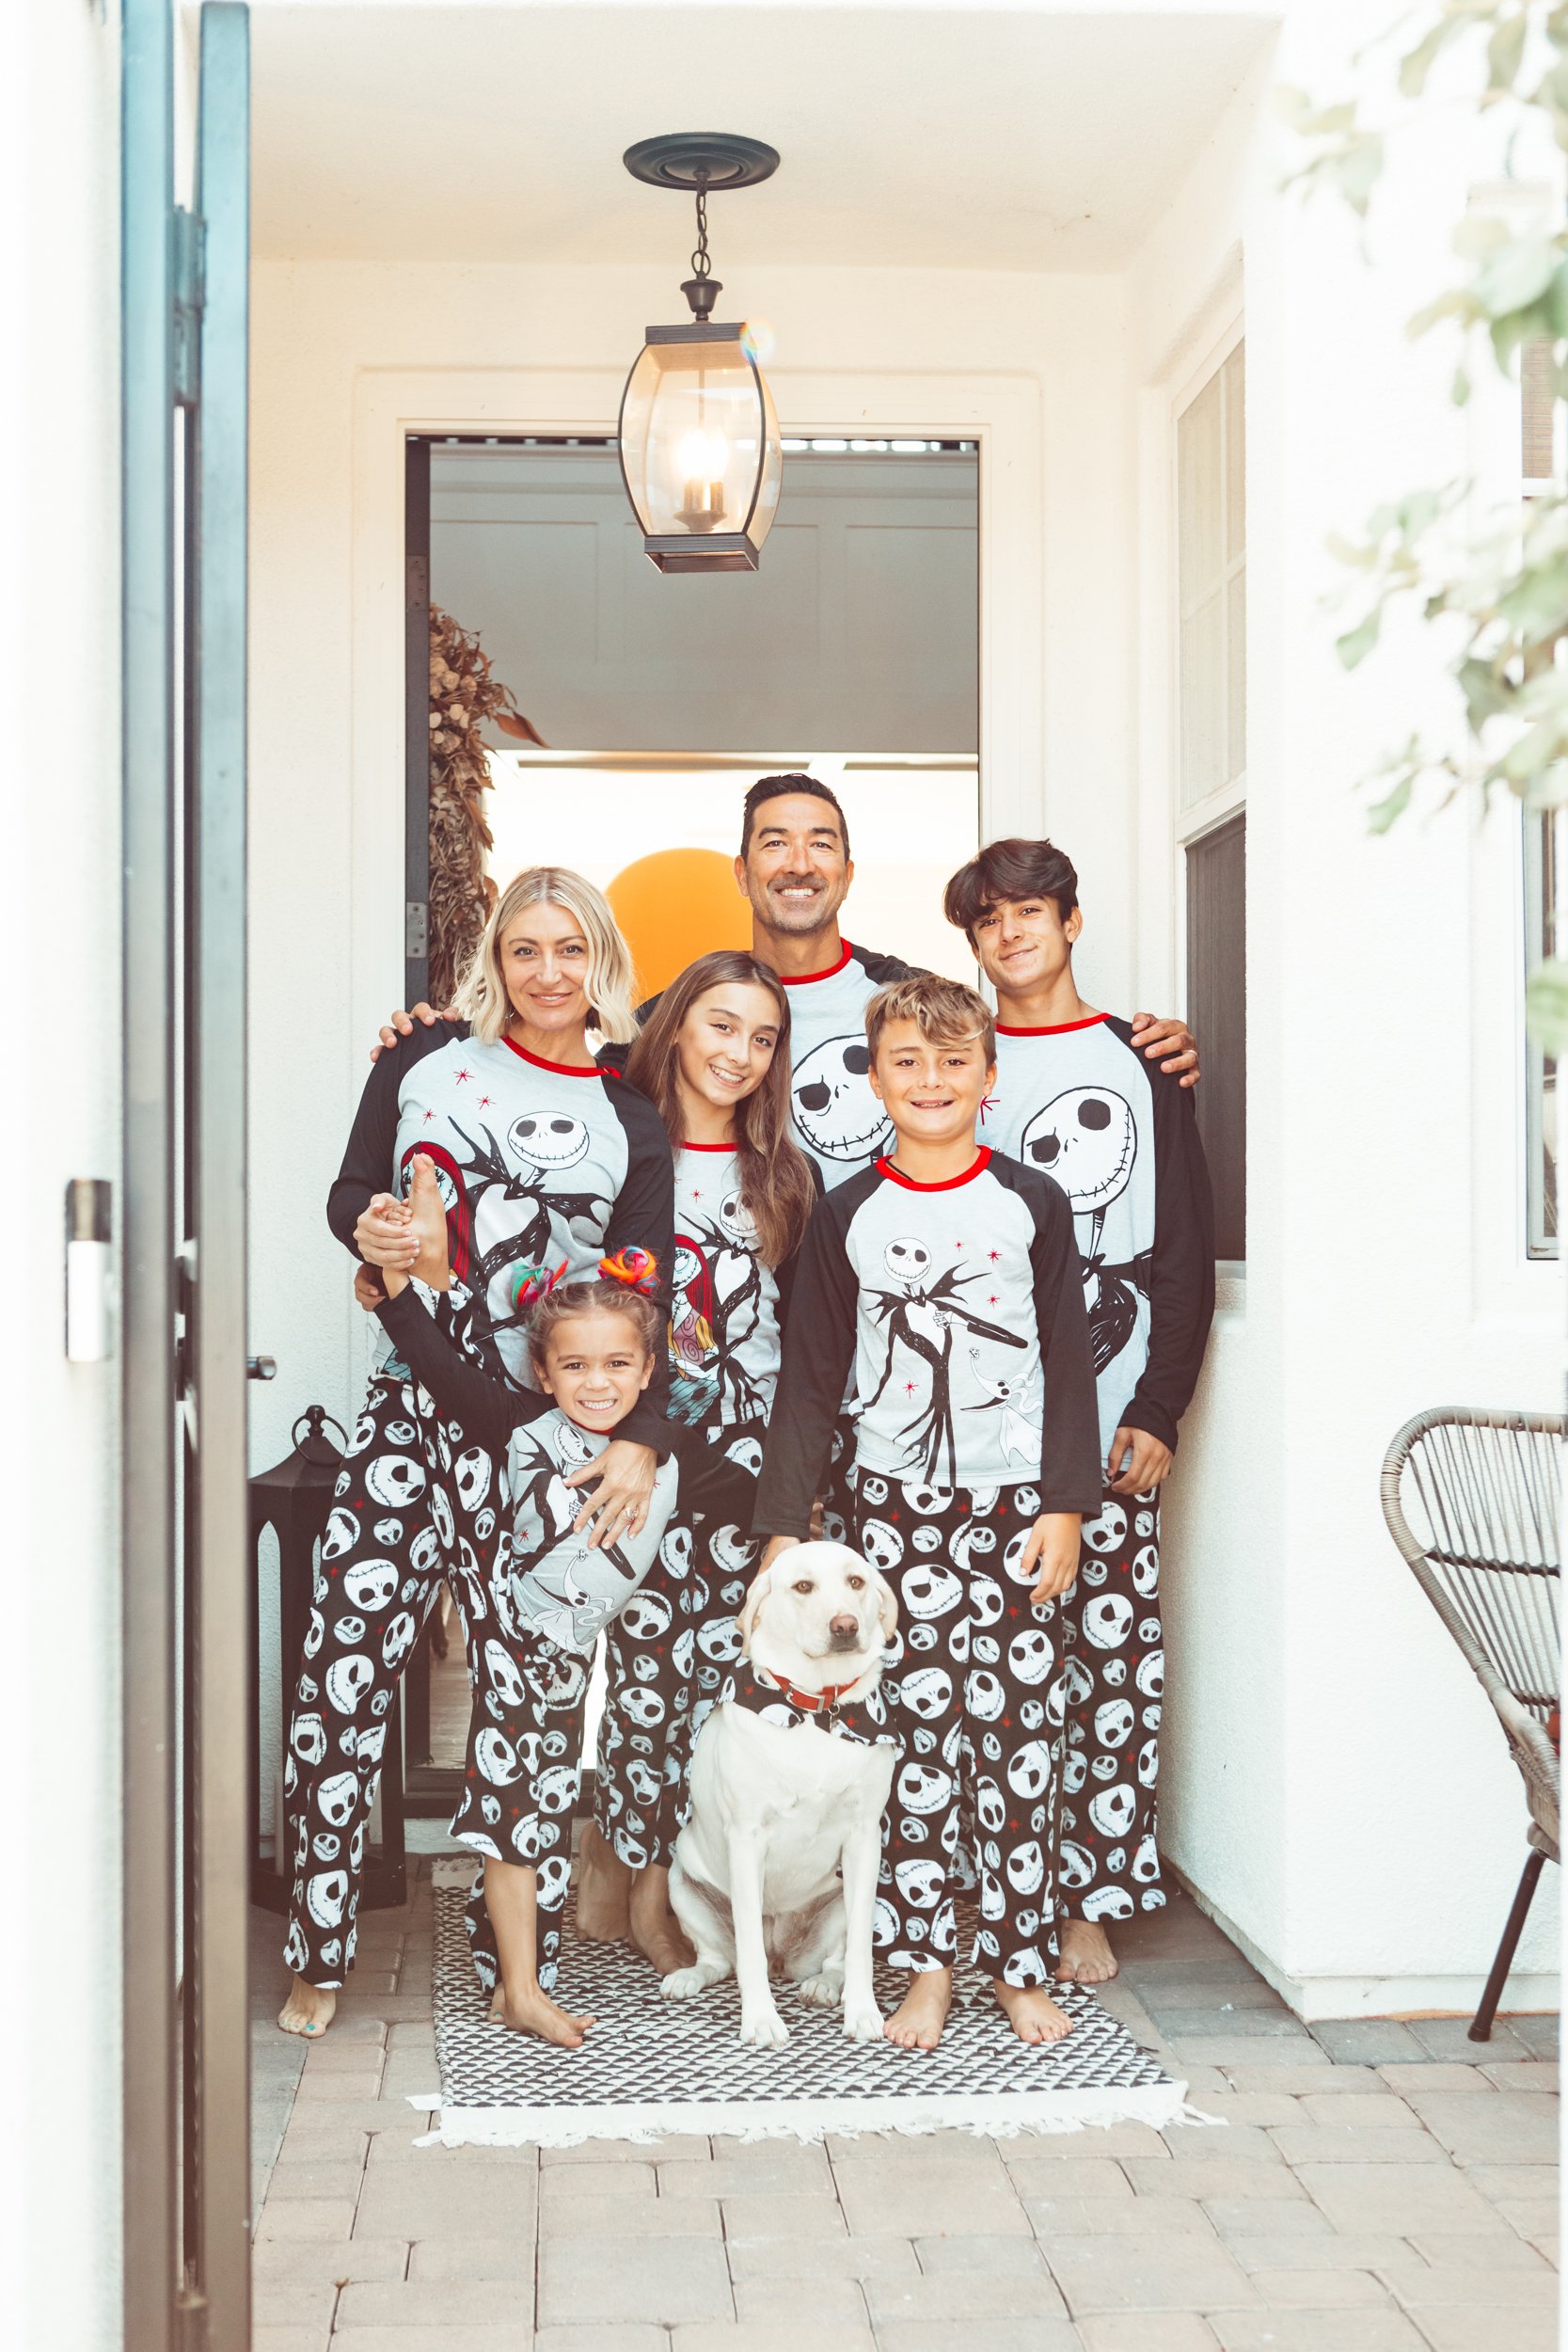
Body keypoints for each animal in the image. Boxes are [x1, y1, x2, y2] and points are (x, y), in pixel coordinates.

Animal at [657, 1543, 902, 2042]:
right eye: (803, 1586)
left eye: (856, 1582)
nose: (845, 1626)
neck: (817, 1708)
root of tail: (782, 1955)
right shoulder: (747, 1838)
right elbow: (748, 1949)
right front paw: (761, 2020)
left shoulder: (865, 1837)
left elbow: (862, 1952)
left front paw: (862, 2011)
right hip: (682, 1885)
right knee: (721, 1959)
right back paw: (688, 1977)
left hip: (839, 1903)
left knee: (834, 1961)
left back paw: (825, 1987)